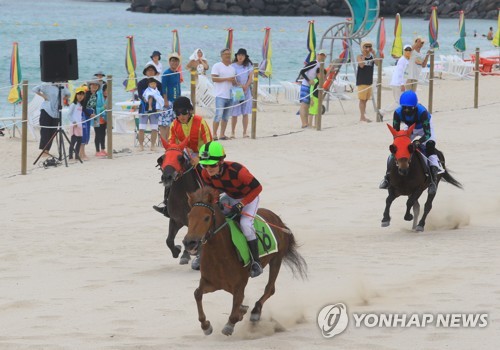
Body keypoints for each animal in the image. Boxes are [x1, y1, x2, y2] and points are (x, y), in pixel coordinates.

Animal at [182, 187, 306, 334]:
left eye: (206, 218)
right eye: (188, 216)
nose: (189, 242)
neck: (219, 257)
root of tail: (278, 219)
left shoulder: (239, 286)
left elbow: (235, 312)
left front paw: (231, 323)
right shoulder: (209, 282)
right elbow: (197, 294)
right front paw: (206, 325)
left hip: (277, 259)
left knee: (270, 289)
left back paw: (256, 312)